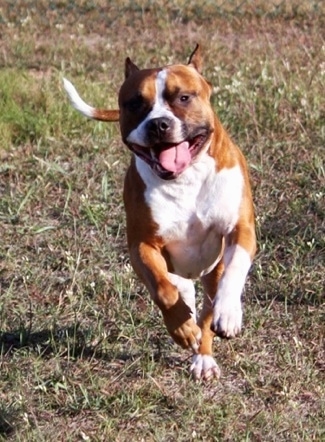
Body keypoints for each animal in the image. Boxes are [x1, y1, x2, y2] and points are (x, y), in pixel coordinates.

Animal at [63, 46, 256, 382]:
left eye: (184, 97)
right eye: (135, 103)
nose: (158, 124)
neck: (185, 178)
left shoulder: (240, 229)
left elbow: (235, 270)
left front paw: (229, 313)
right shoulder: (142, 246)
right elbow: (163, 289)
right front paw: (181, 327)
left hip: (212, 271)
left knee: (207, 309)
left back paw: (204, 357)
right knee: (179, 287)